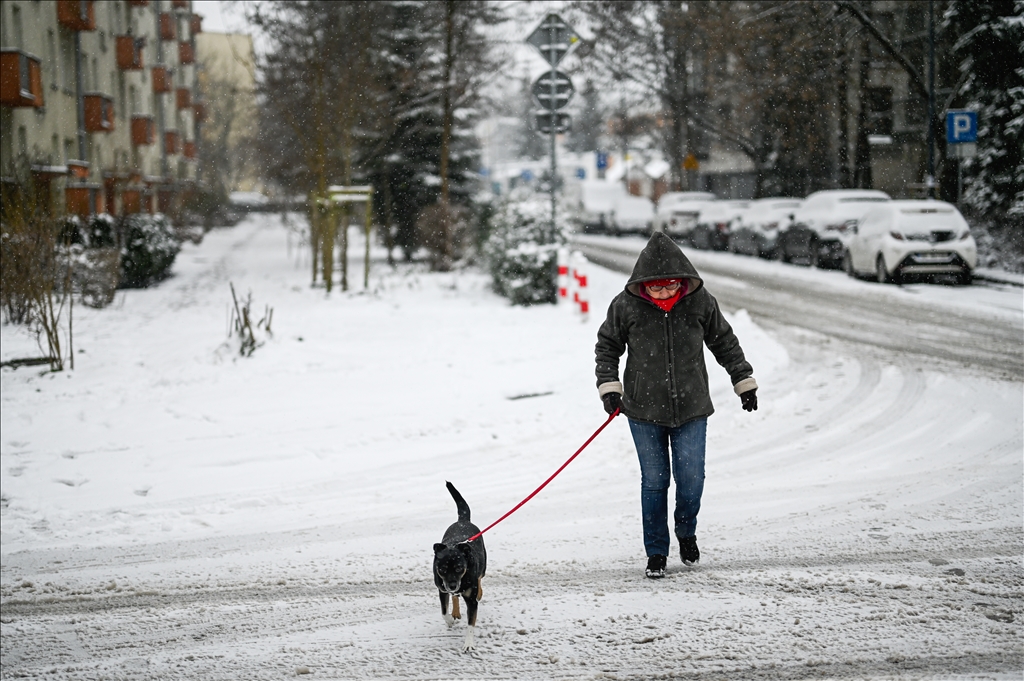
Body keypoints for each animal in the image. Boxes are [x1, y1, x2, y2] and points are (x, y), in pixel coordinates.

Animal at [432, 477, 487, 647]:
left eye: (459, 568)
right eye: (442, 569)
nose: (452, 585)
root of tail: (462, 520)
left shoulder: (471, 600)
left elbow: (471, 623)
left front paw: (468, 644)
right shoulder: (442, 589)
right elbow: (444, 612)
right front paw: (450, 620)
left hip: (483, 565)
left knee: (480, 577)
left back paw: (479, 592)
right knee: (455, 596)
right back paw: (455, 611)